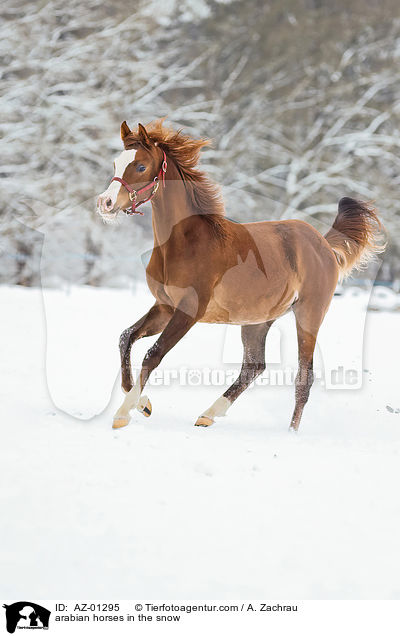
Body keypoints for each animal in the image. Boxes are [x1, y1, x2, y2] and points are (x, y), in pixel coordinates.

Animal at [95, 120, 382, 432]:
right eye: (116, 162)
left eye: (141, 166)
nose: (105, 203)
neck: (185, 242)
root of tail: (324, 245)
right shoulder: (164, 306)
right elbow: (126, 338)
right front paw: (143, 404)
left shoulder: (188, 311)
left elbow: (153, 354)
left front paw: (123, 413)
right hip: (257, 321)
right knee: (254, 366)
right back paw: (208, 414)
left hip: (309, 315)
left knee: (303, 378)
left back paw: (290, 432)